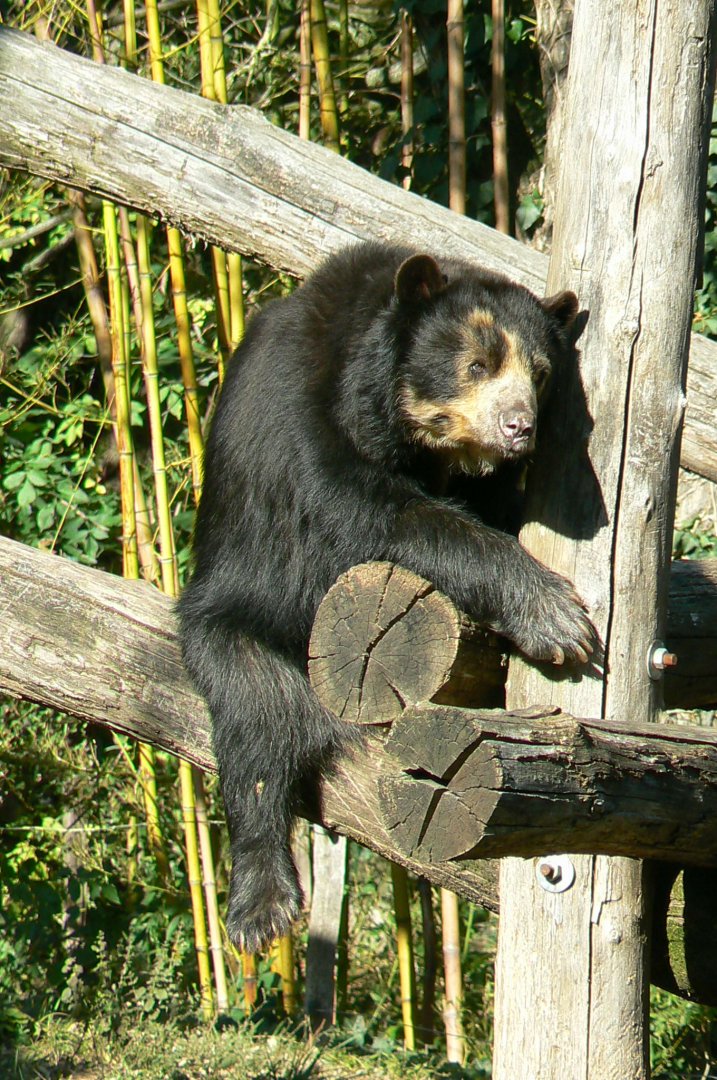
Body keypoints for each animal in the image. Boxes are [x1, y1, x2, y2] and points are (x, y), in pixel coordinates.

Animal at [177, 241, 596, 953]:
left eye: (540, 375)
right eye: (477, 364)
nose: (519, 428)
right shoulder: (302, 414)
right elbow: (369, 512)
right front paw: (559, 617)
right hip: (235, 622)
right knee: (257, 726)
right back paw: (263, 908)